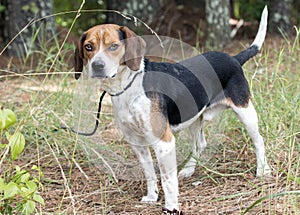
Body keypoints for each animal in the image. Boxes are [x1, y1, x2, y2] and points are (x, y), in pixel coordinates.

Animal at [74, 6, 270, 213]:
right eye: (88, 47)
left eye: (113, 46)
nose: (97, 66)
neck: (127, 86)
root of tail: (233, 58)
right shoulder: (137, 143)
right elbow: (150, 173)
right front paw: (152, 197)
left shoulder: (163, 142)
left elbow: (168, 179)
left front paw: (171, 206)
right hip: (194, 117)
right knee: (200, 144)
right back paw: (189, 170)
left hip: (245, 111)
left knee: (259, 140)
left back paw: (263, 170)